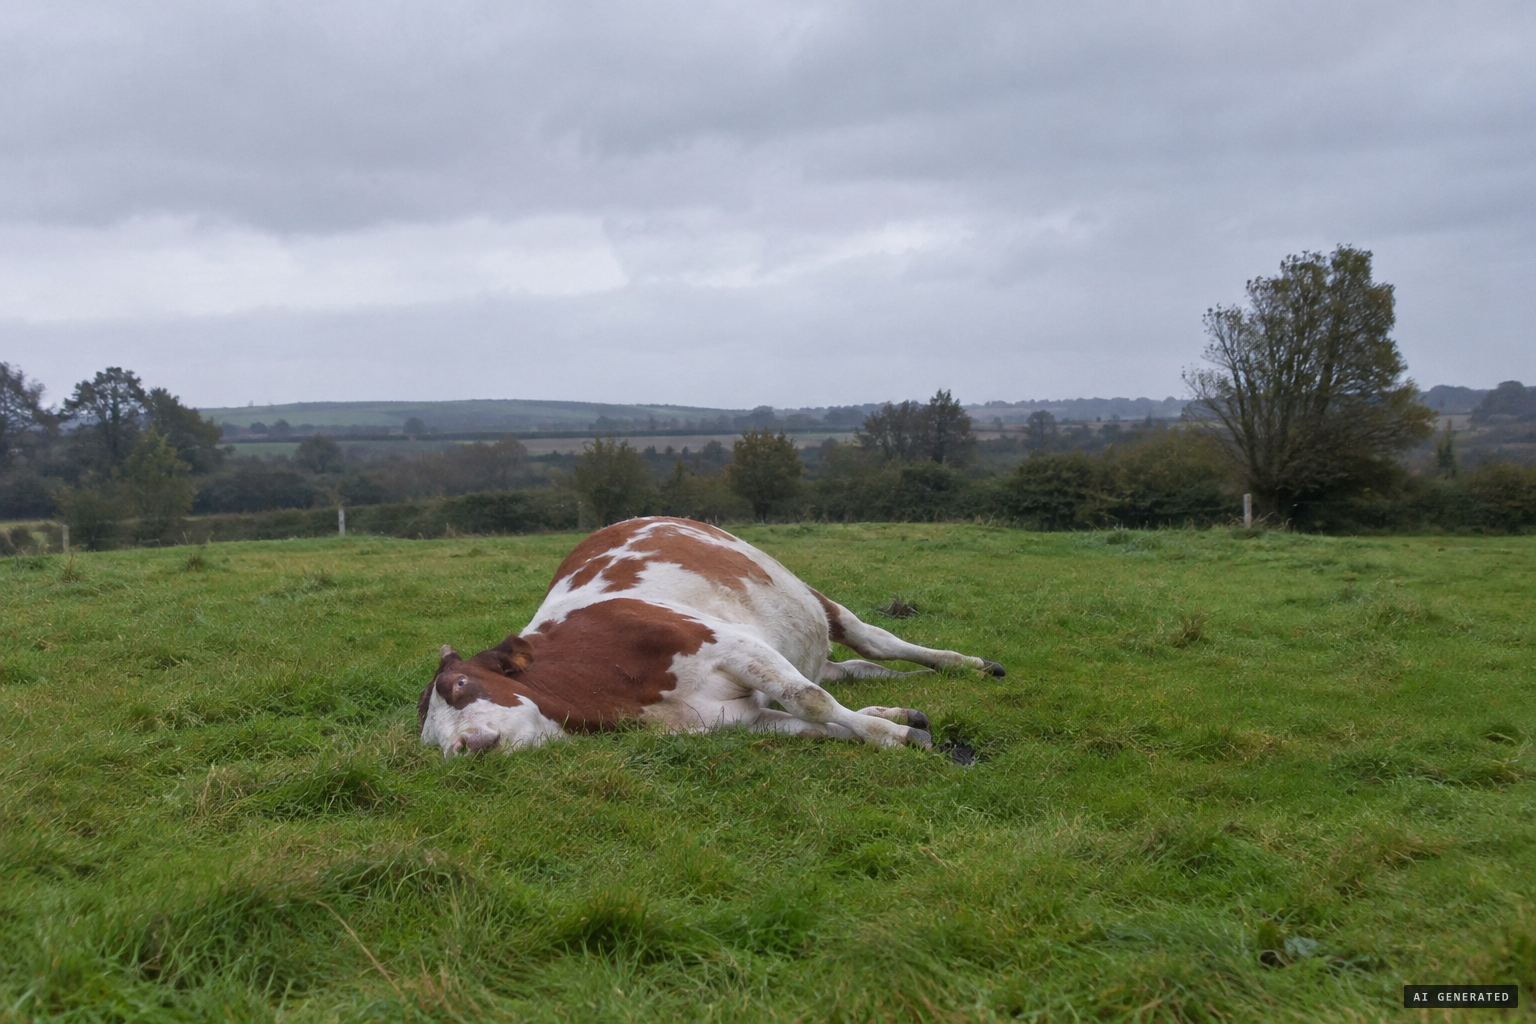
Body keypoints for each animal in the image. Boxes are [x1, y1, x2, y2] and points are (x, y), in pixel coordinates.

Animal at [417, 516, 1004, 757]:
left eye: (461, 686)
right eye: (428, 739)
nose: (461, 749)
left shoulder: (733, 644)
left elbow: (810, 702)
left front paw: (898, 737)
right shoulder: (737, 719)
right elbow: (818, 724)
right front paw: (891, 728)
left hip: (810, 600)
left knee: (873, 643)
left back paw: (967, 666)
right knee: (851, 670)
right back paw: (900, 702)